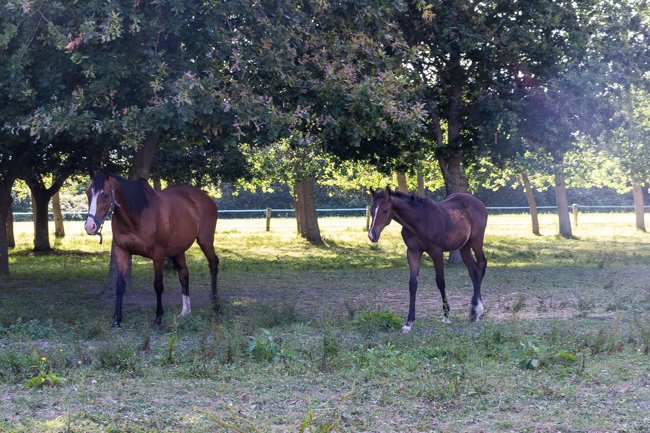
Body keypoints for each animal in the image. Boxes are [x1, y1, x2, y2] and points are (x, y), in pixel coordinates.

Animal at [84, 173, 219, 327]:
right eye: (88, 193)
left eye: (106, 195)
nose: (90, 227)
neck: (137, 215)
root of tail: (205, 197)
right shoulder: (122, 251)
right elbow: (120, 285)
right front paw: (117, 320)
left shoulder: (158, 254)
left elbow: (158, 285)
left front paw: (158, 318)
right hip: (178, 250)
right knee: (184, 274)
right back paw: (185, 312)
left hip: (205, 241)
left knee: (213, 264)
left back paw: (216, 307)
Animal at [368, 187, 488, 333]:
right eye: (371, 210)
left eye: (385, 210)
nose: (372, 235)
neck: (419, 220)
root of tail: (477, 202)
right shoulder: (413, 252)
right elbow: (412, 284)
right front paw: (409, 322)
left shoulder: (436, 252)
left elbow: (440, 282)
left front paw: (446, 316)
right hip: (464, 247)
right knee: (473, 271)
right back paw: (474, 311)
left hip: (476, 241)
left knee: (481, 265)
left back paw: (477, 310)